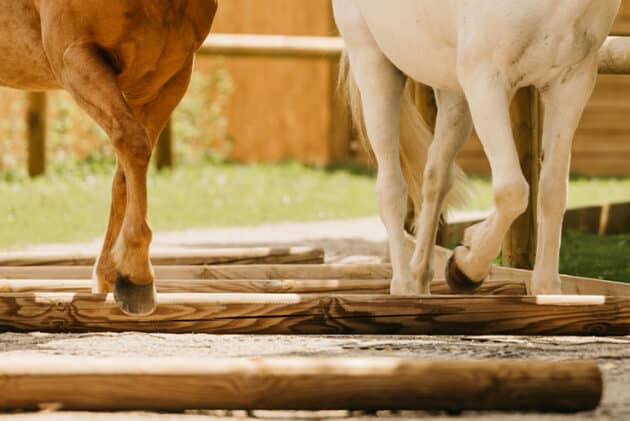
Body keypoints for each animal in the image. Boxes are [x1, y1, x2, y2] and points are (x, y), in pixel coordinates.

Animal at [2, 1, 218, 314]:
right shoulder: (76, 58)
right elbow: (132, 141)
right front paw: (137, 273)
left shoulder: (168, 77)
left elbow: (125, 171)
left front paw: (114, 273)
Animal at [336, 0, 624, 296]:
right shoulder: (486, 80)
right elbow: (513, 191)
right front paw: (466, 268)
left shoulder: (570, 86)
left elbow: (552, 192)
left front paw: (547, 289)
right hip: (373, 63)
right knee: (391, 187)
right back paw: (404, 287)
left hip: (452, 92)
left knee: (436, 178)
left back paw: (420, 278)